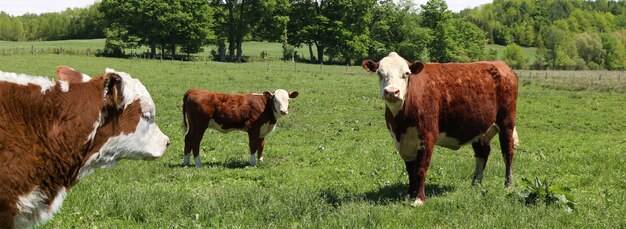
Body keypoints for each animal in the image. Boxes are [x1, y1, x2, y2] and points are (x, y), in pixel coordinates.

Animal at [360, 52, 516, 206]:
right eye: (380, 73)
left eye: (406, 73)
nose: (392, 92)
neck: (401, 122)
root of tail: (501, 65)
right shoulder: (403, 142)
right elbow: (410, 170)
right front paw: (410, 194)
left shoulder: (427, 137)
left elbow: (421, 169)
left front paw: (419, 199)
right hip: (478, 129)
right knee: (482, 153)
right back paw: (475, 183)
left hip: (507, 122)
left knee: (507, 153)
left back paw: (508, 185)